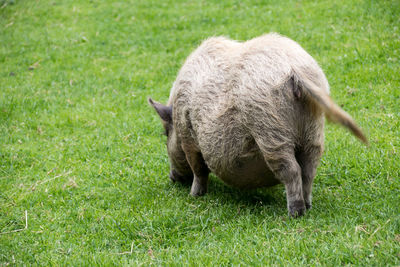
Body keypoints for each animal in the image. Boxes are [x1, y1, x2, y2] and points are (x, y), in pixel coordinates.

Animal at [148, 33, 368, 218]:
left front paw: (195, 195)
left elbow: (199, 169)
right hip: (314, 130)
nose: (172, 178)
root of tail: (295, 72)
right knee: (309, 169)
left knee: (292, 170)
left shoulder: (189, 138)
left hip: (270, 129)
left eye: (165, 133)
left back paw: (295, 213)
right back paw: (308, 206)